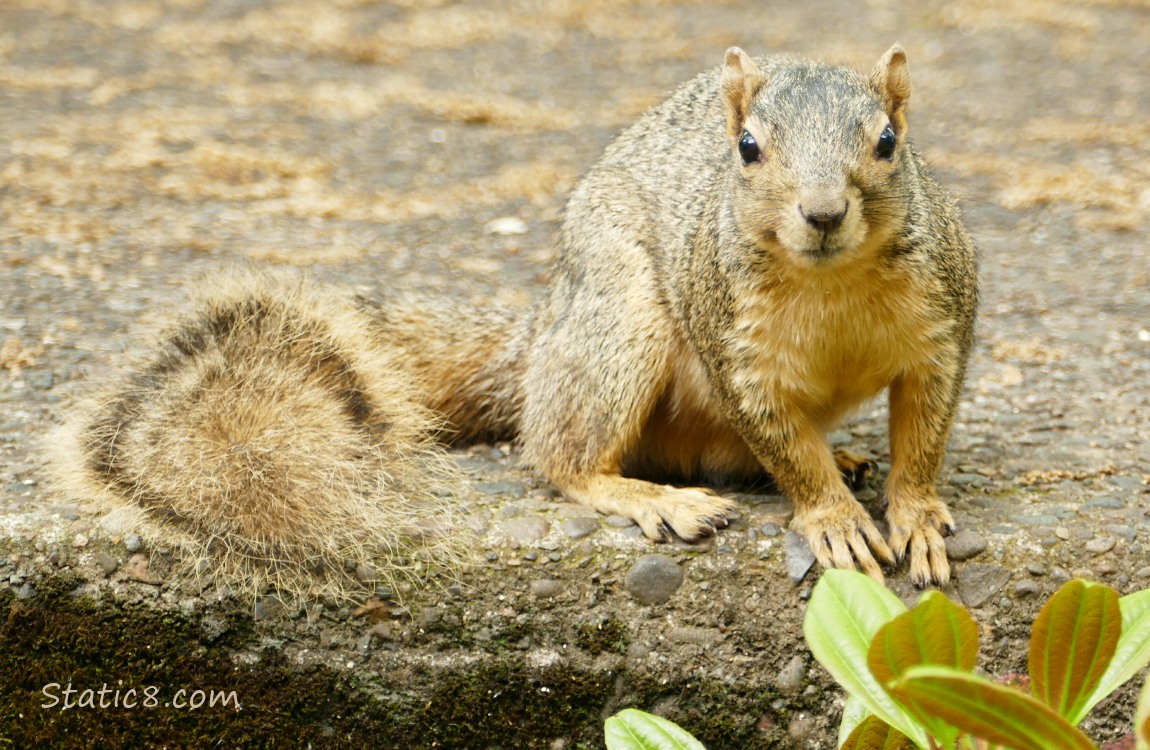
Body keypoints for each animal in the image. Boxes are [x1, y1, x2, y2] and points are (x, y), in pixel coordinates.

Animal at [51, 43, 970, 593]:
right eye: (747, 149)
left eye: (889, 142)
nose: (822, 213)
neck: (831, 283)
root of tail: (539, 345)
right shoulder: (736, 351)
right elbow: (785, 450)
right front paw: (835, 522)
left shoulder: (943, 327)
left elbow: (923, 437)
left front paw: (913, 514)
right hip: (618, 324)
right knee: (560, 454)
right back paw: (651, 496)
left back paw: (844, 457)